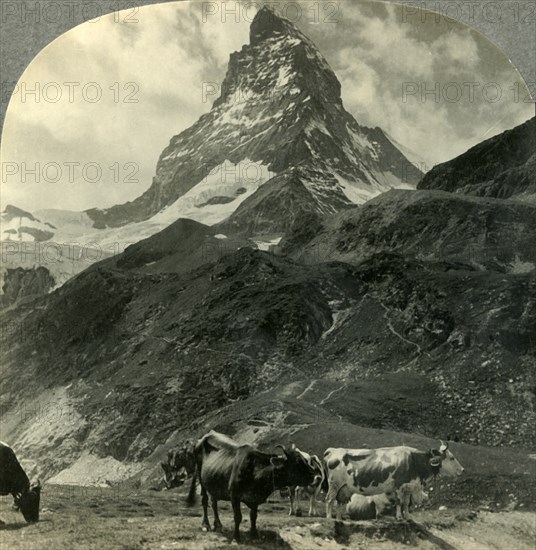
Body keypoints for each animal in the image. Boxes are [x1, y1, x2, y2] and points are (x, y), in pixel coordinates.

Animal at [186, 432, 318, 544]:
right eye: (297, 463)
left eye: (305, 460)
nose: (315, 474)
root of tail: (204, 437)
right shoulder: (234, 495)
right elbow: (238, 517)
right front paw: (236, 538)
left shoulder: (255, 498)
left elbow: (253, 516)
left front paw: (254, 534)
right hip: (200, 476)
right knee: (204, 501)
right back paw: (206, 524)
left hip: (214, 481)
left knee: (214, 502)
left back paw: (218, 524)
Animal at [324, 444, 462, 520]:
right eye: (452, 458)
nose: (462, 469)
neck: (413, 461)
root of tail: (333, 450)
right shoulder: (399, 486)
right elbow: (400, 502)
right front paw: (400, 517)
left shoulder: (407, 487)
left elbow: (406, 503)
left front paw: (407, 517)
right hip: (334, 484)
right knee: (329, 499)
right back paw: (329, 517)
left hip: (343, 488)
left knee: (339, 502)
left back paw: (339, 519)